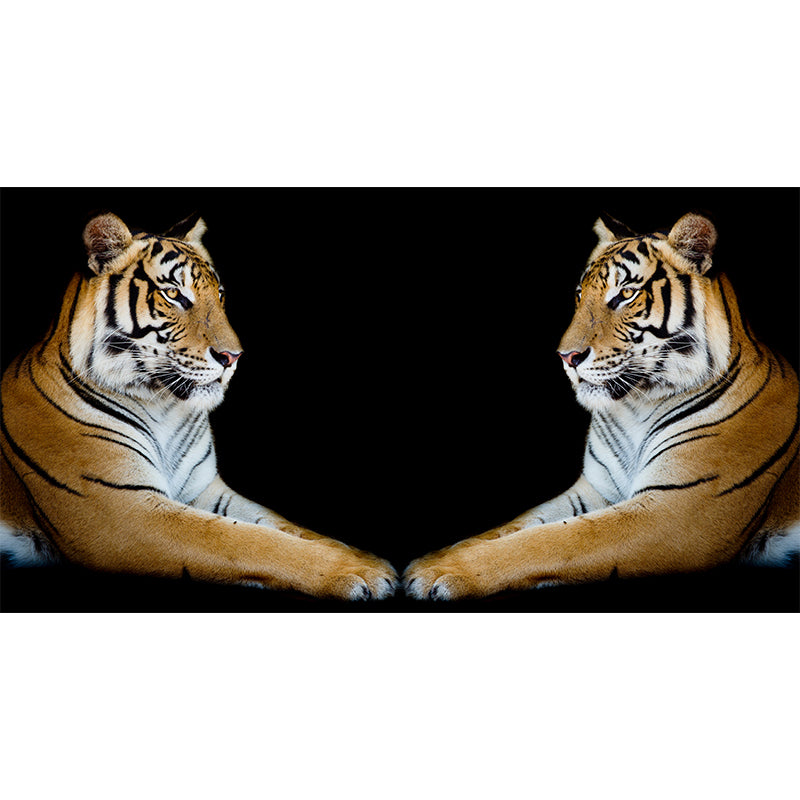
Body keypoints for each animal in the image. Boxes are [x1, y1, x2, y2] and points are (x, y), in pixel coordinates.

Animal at [0, 212, 398, 600]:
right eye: (174, 294)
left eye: (219, 294)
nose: (233, 357)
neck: (161, 406)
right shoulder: (121, 509)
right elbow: (245, 539)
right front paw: (360, 572)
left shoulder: (205, 490)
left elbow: (285, 525)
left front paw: (366, 558)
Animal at [403, 212, 800, 600]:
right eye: (580, 295)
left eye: (625, 294)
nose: (566, 357)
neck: (638, 407)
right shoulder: (594, 490)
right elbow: (514, 525)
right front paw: (432, 558)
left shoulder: (678, 509)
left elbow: (555, 539)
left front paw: (438, 572)